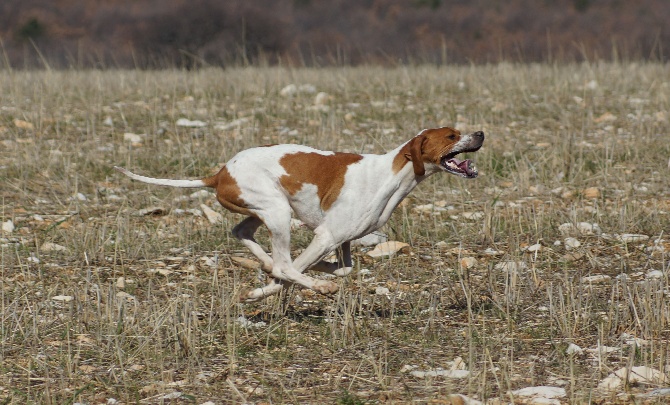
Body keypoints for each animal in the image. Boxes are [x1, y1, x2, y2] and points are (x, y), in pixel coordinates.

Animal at [115, 126, 484, 300]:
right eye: (451, 135)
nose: (480, 133)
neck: (392, 173)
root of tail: (219, 174)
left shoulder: (341, 241)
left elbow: (342, 268)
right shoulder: (326, 236)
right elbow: (293, 271)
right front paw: (264, 292)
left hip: (266, 211)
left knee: (242, 233)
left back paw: (264, 262)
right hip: (277, 212)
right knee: (282, 262)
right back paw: (308, 283)